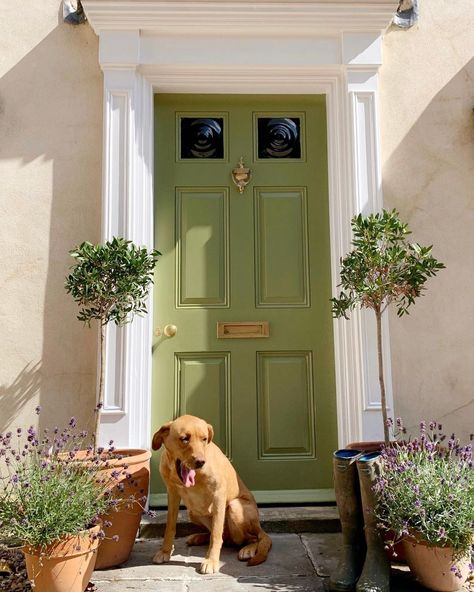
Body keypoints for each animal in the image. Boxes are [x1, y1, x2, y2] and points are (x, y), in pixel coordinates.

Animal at [151, 416, 270, 572]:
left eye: (204, 439)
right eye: (184, 438)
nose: (201, 462)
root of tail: (260, 527)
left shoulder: (219, 494)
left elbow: (216, 534)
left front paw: (211, 561)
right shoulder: (172, 493)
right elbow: (170, 527)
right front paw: (165, 551)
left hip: (235, 507)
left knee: (253, 538)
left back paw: (248, 549)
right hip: (192, 512)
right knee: (225, 536)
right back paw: (199, 537)